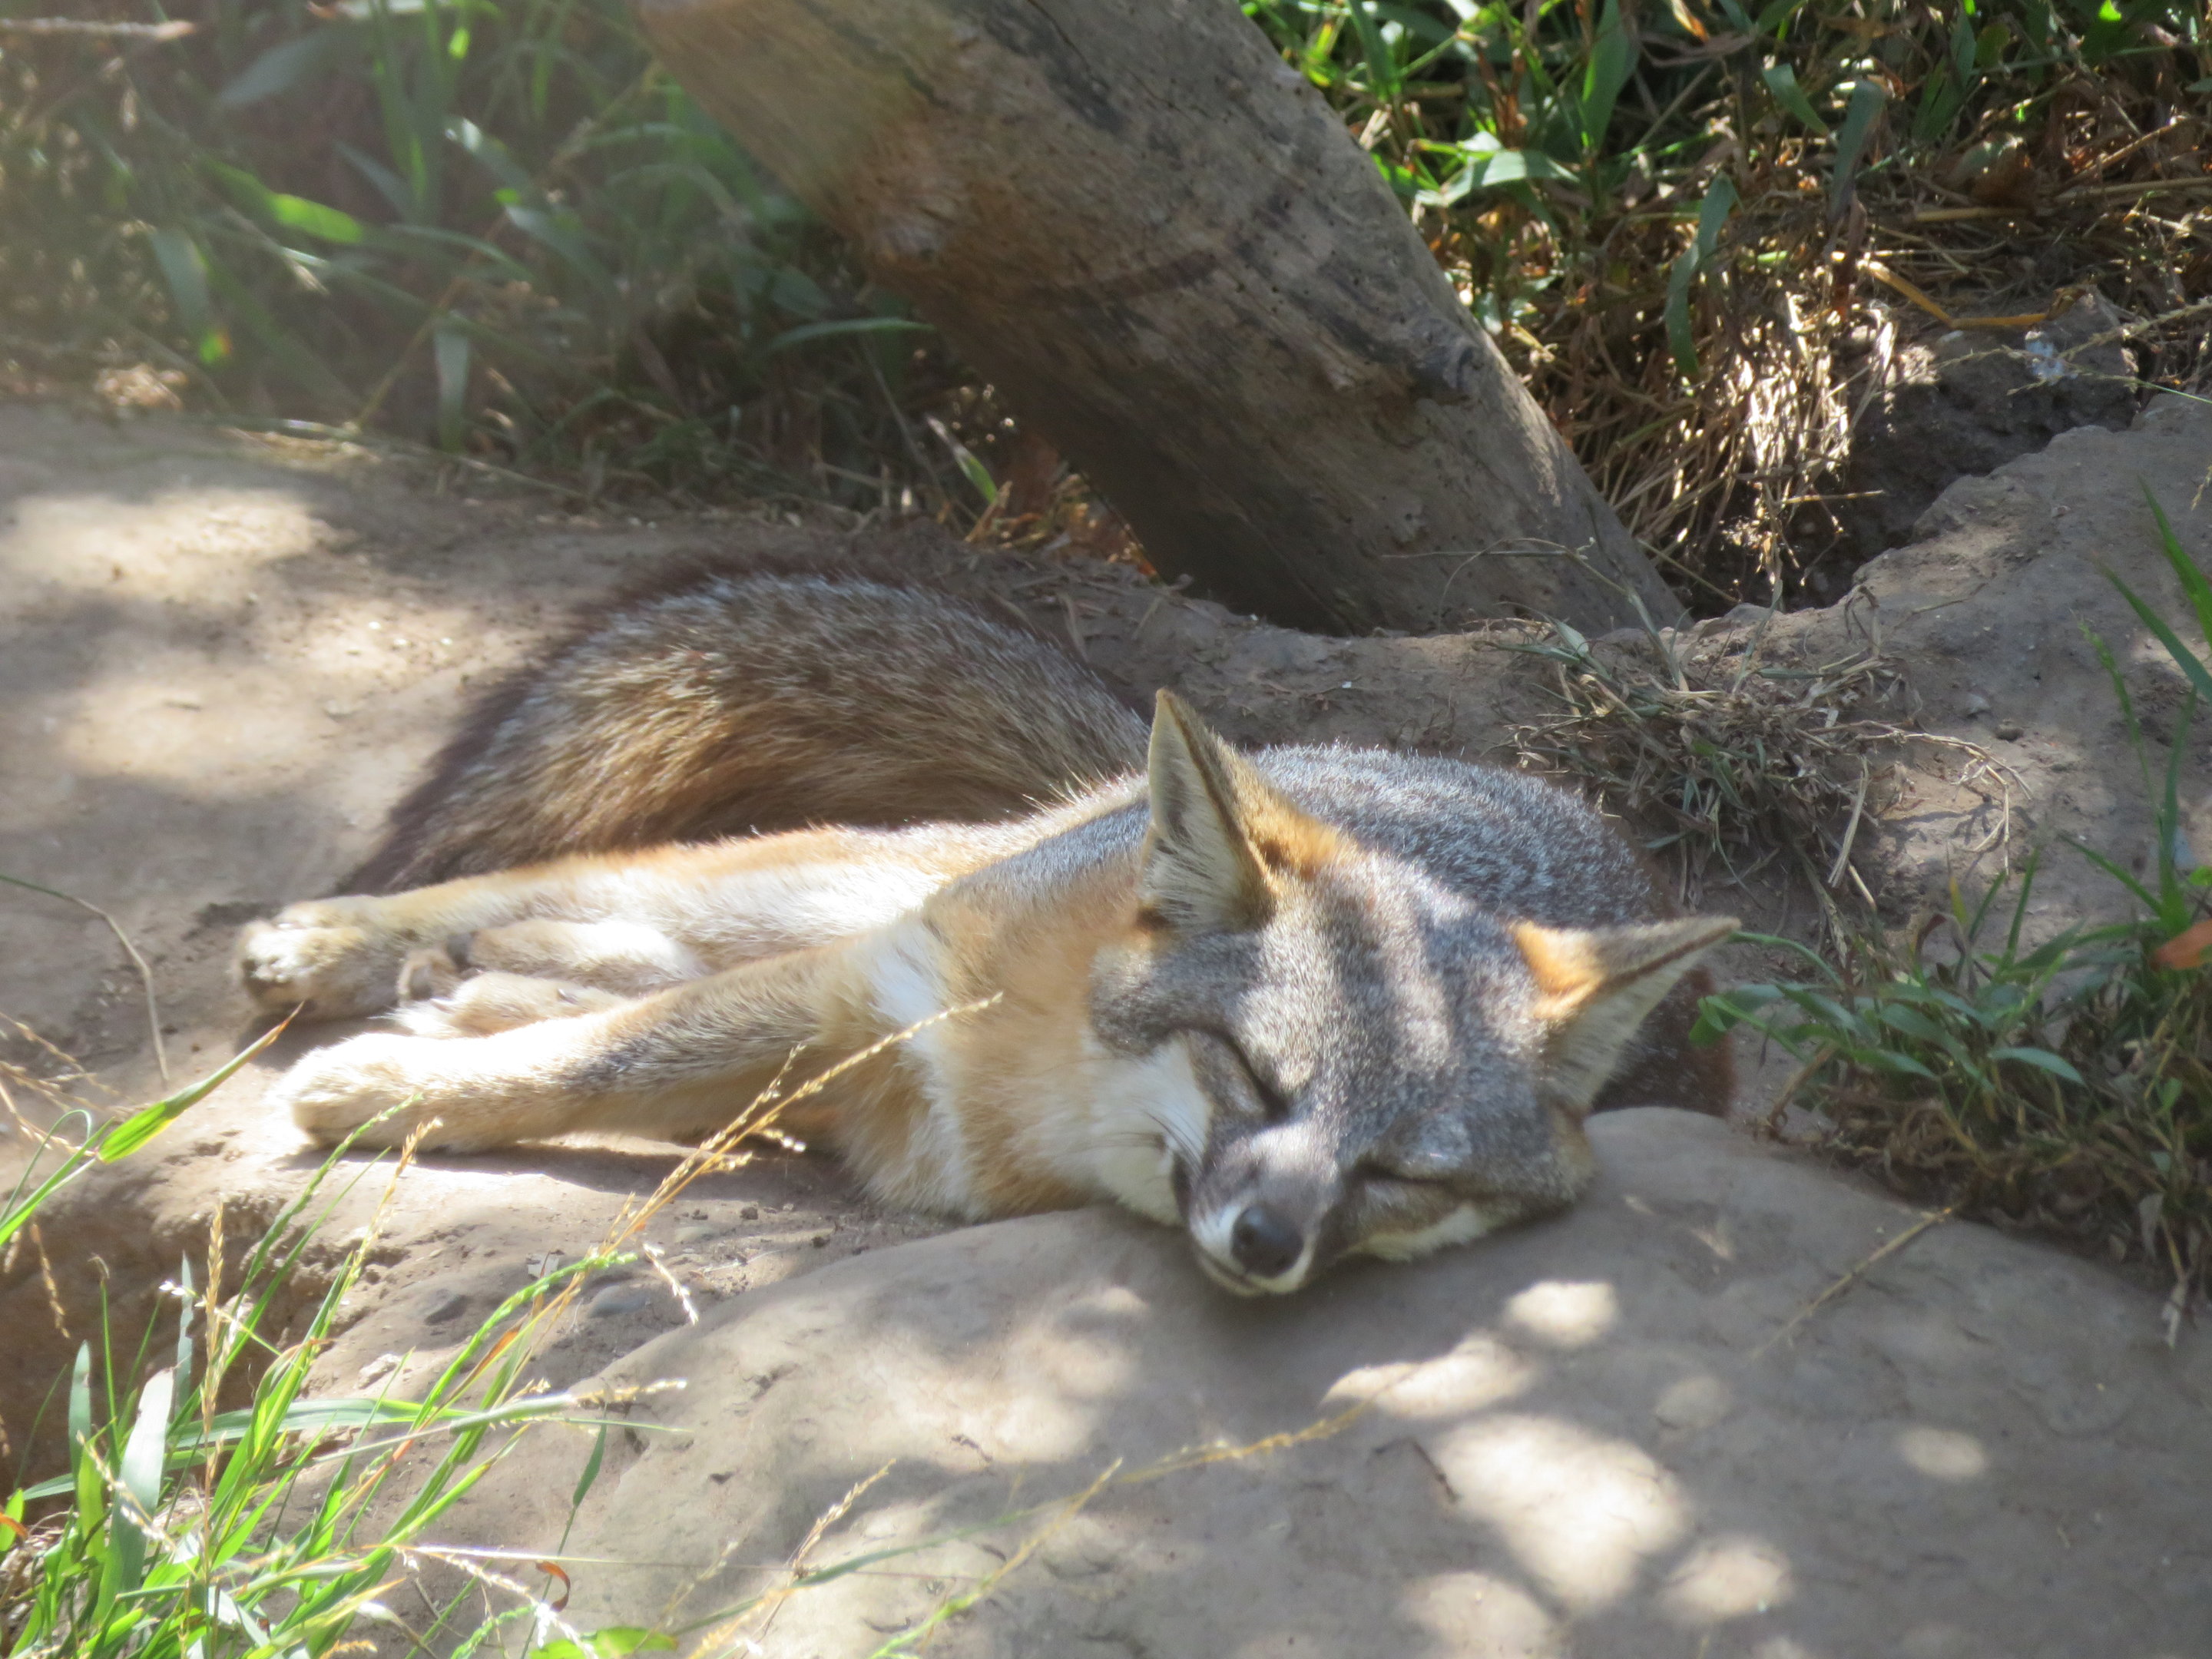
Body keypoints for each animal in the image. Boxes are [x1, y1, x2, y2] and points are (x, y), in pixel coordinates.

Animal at [238, 561, 1736, 1294]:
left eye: (1407, 1177)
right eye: (1254, 1077)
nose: (1270, 1245)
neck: (1030, 1075)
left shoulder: (861, 1090)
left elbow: (636, 1052)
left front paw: (429, 1068)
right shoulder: (862, 988)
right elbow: (607, 1058)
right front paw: (395, 1093)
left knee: (625, 951)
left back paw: (469, 985)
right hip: (847, 886)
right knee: (600, 883)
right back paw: (338, 941)